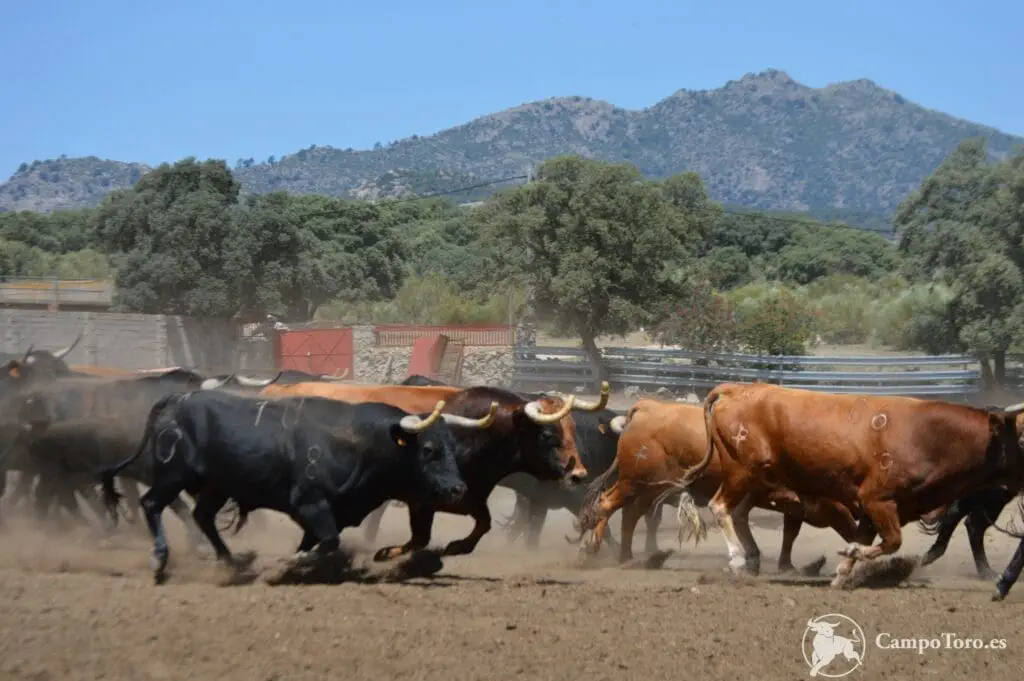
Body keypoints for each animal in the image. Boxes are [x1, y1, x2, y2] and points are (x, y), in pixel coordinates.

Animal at [97, 391, 485, 581]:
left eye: (453, 447)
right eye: (429, 450)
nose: (457, 490)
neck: (361, 443)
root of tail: (176, 402)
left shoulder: (327, 514)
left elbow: (320, 542)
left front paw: (301, 562)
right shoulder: (310, 504)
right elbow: (328, 542)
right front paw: (295, 562)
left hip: (216, 486)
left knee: (203, 516)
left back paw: (232, 562)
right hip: (173, 476)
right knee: (152, 505)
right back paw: (160, 559)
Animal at [577, 395, 856, 569]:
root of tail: (647, 408)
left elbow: (785, 531)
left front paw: (778, 563)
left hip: (651, 489)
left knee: (629, 514)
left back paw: (626, 556)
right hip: (633, 482)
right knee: (607, 504)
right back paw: (597, 549)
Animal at [671, 385, 1024, 585]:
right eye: (1021, 436)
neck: (925, 435)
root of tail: (737, 389)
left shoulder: (873, 509)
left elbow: (864, 537)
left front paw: (842, 572)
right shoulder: (879, 500)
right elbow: (891, 541)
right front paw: (851, 556)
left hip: (754, 478)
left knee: (739, 512)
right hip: (741, 469)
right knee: (720, 507)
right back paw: (738, 559)